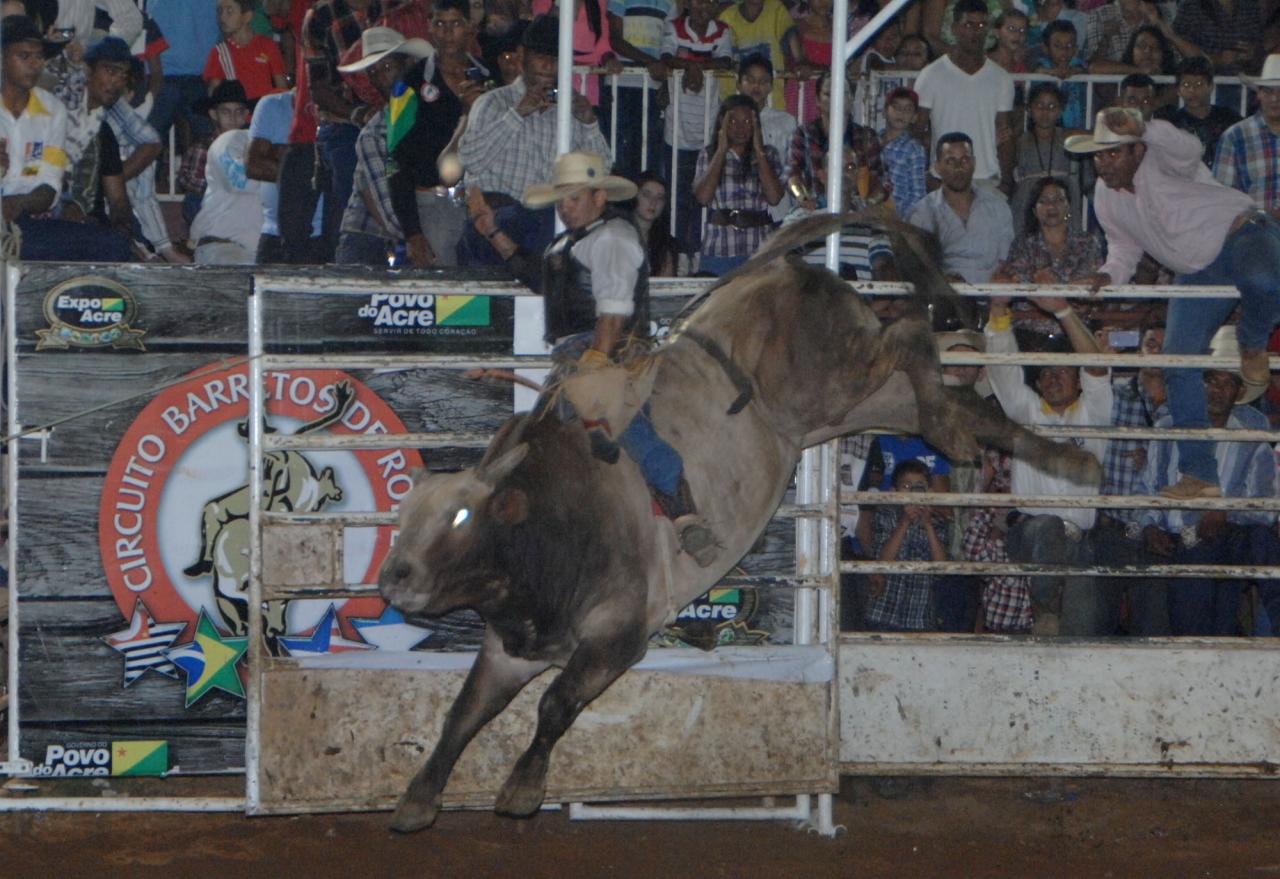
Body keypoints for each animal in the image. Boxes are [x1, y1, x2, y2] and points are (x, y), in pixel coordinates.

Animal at [373, 214, 1100, 834]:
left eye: (462, 514)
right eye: (404, 515)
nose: (393, 577)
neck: (547, 524)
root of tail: (774, 262)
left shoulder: (618, 635)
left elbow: (555, 704)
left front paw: (523, 788)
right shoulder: (510, 646)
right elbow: (463, 712)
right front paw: (417, 799)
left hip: (838, 377)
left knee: (909, 337)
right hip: (853, 402)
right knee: (956, 401)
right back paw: (1049, 452)